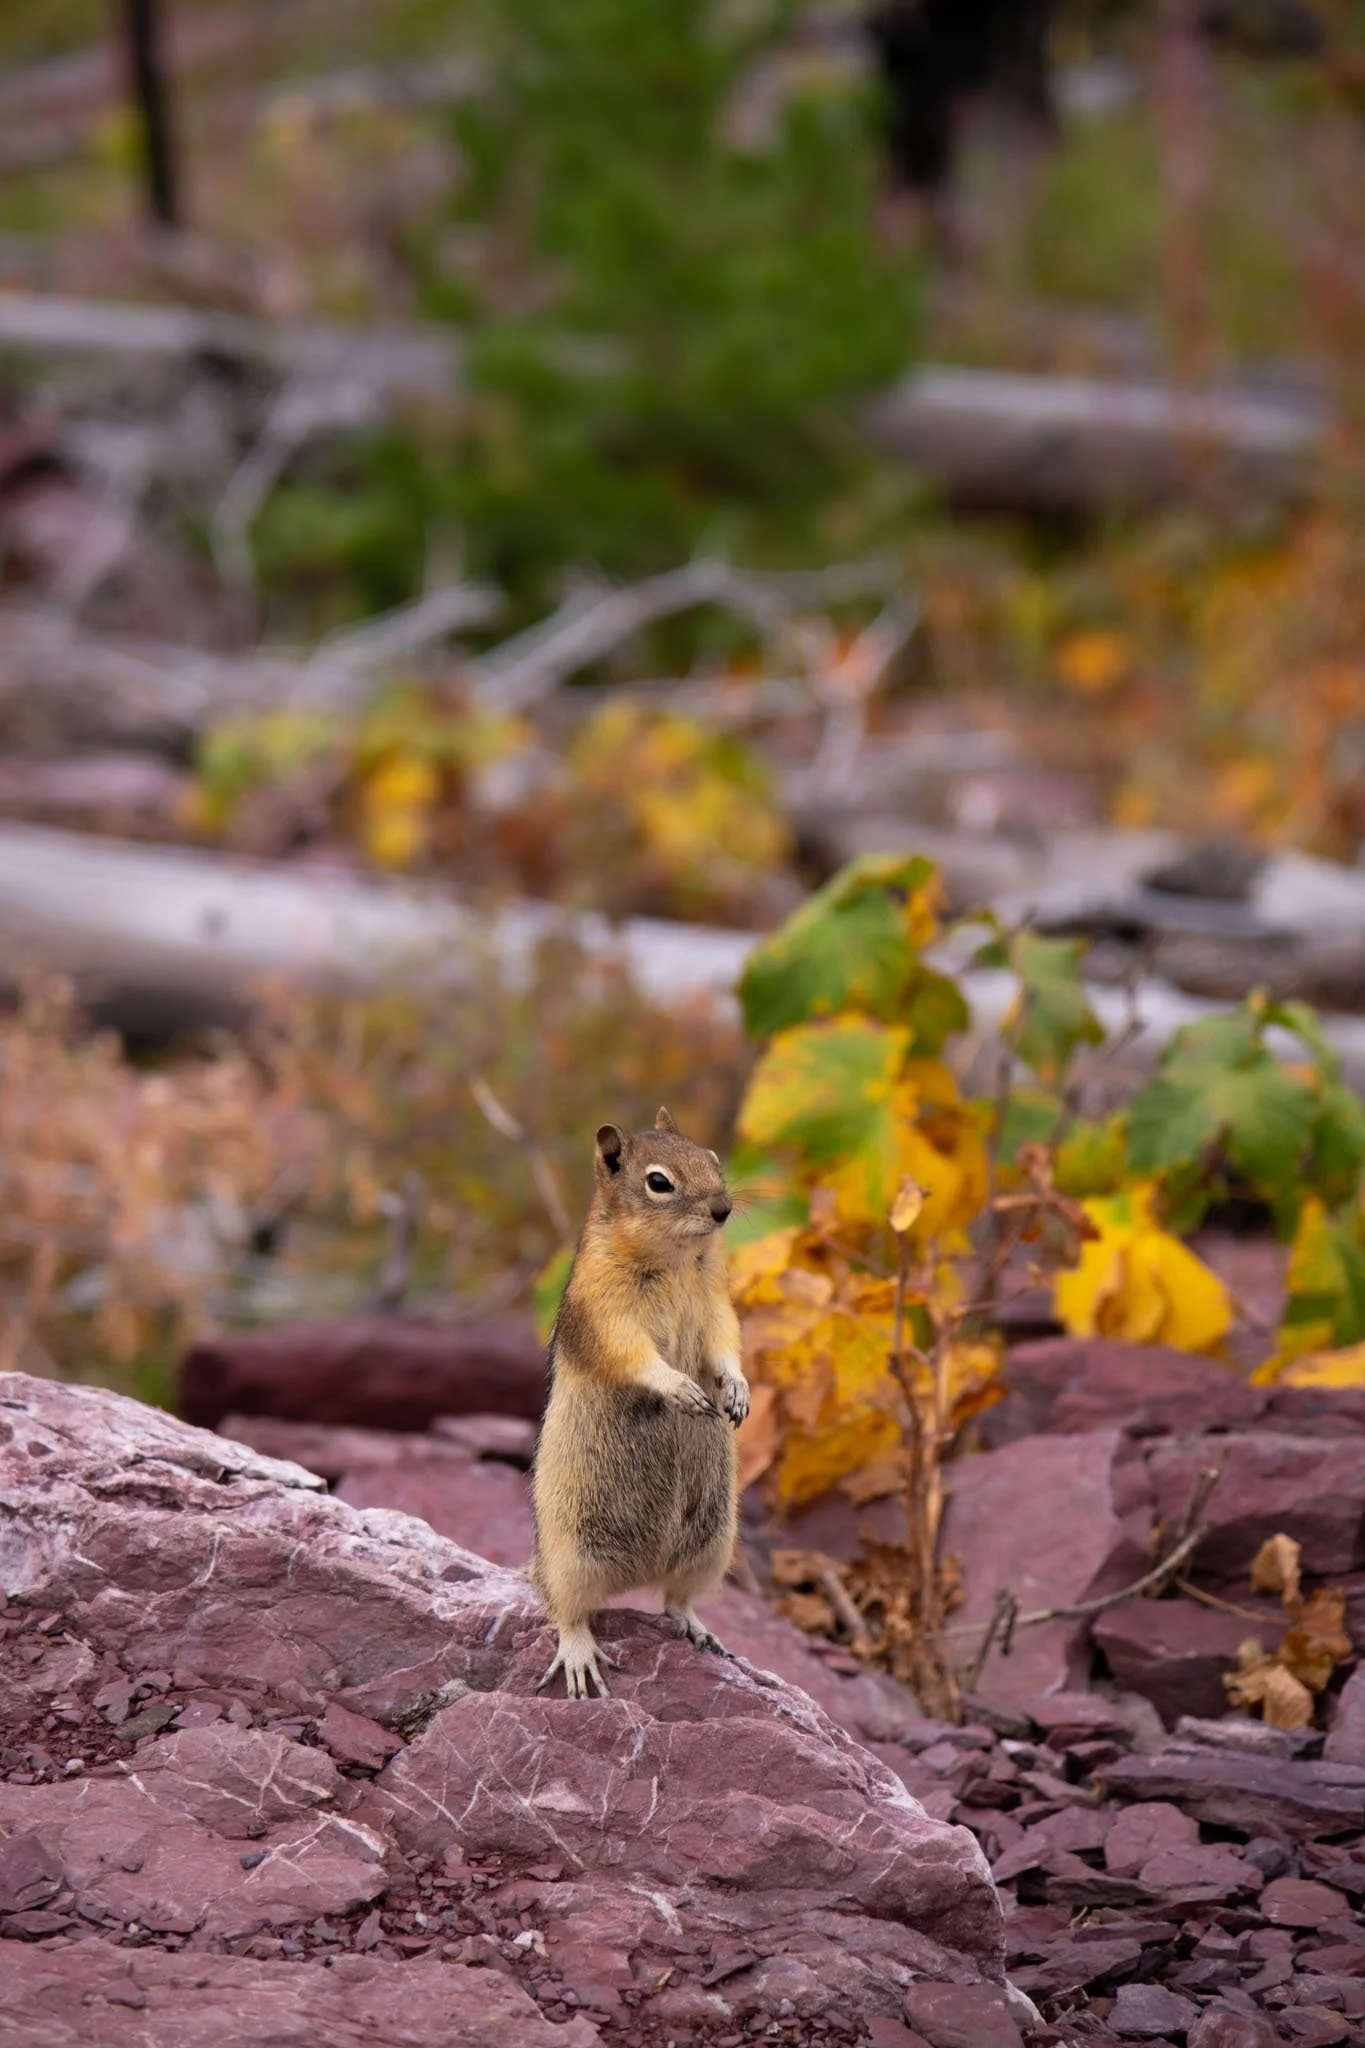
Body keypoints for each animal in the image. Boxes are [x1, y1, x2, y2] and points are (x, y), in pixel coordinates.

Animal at [531, 1107, 749, 1699]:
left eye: (712, 1158)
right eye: (659, 1182)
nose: (723, 1209)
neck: (673, 1261)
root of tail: (636, 1574)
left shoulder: (718, 1303)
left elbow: (727, 1344)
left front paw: (736, 1388)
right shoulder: (605, 1311)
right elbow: (633, 1356)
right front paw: (680, 1389)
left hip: (712, 1542)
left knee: (677, 1598)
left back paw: (699, 1629)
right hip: (571, 1553)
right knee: (566, 1610)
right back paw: (579, 1656)